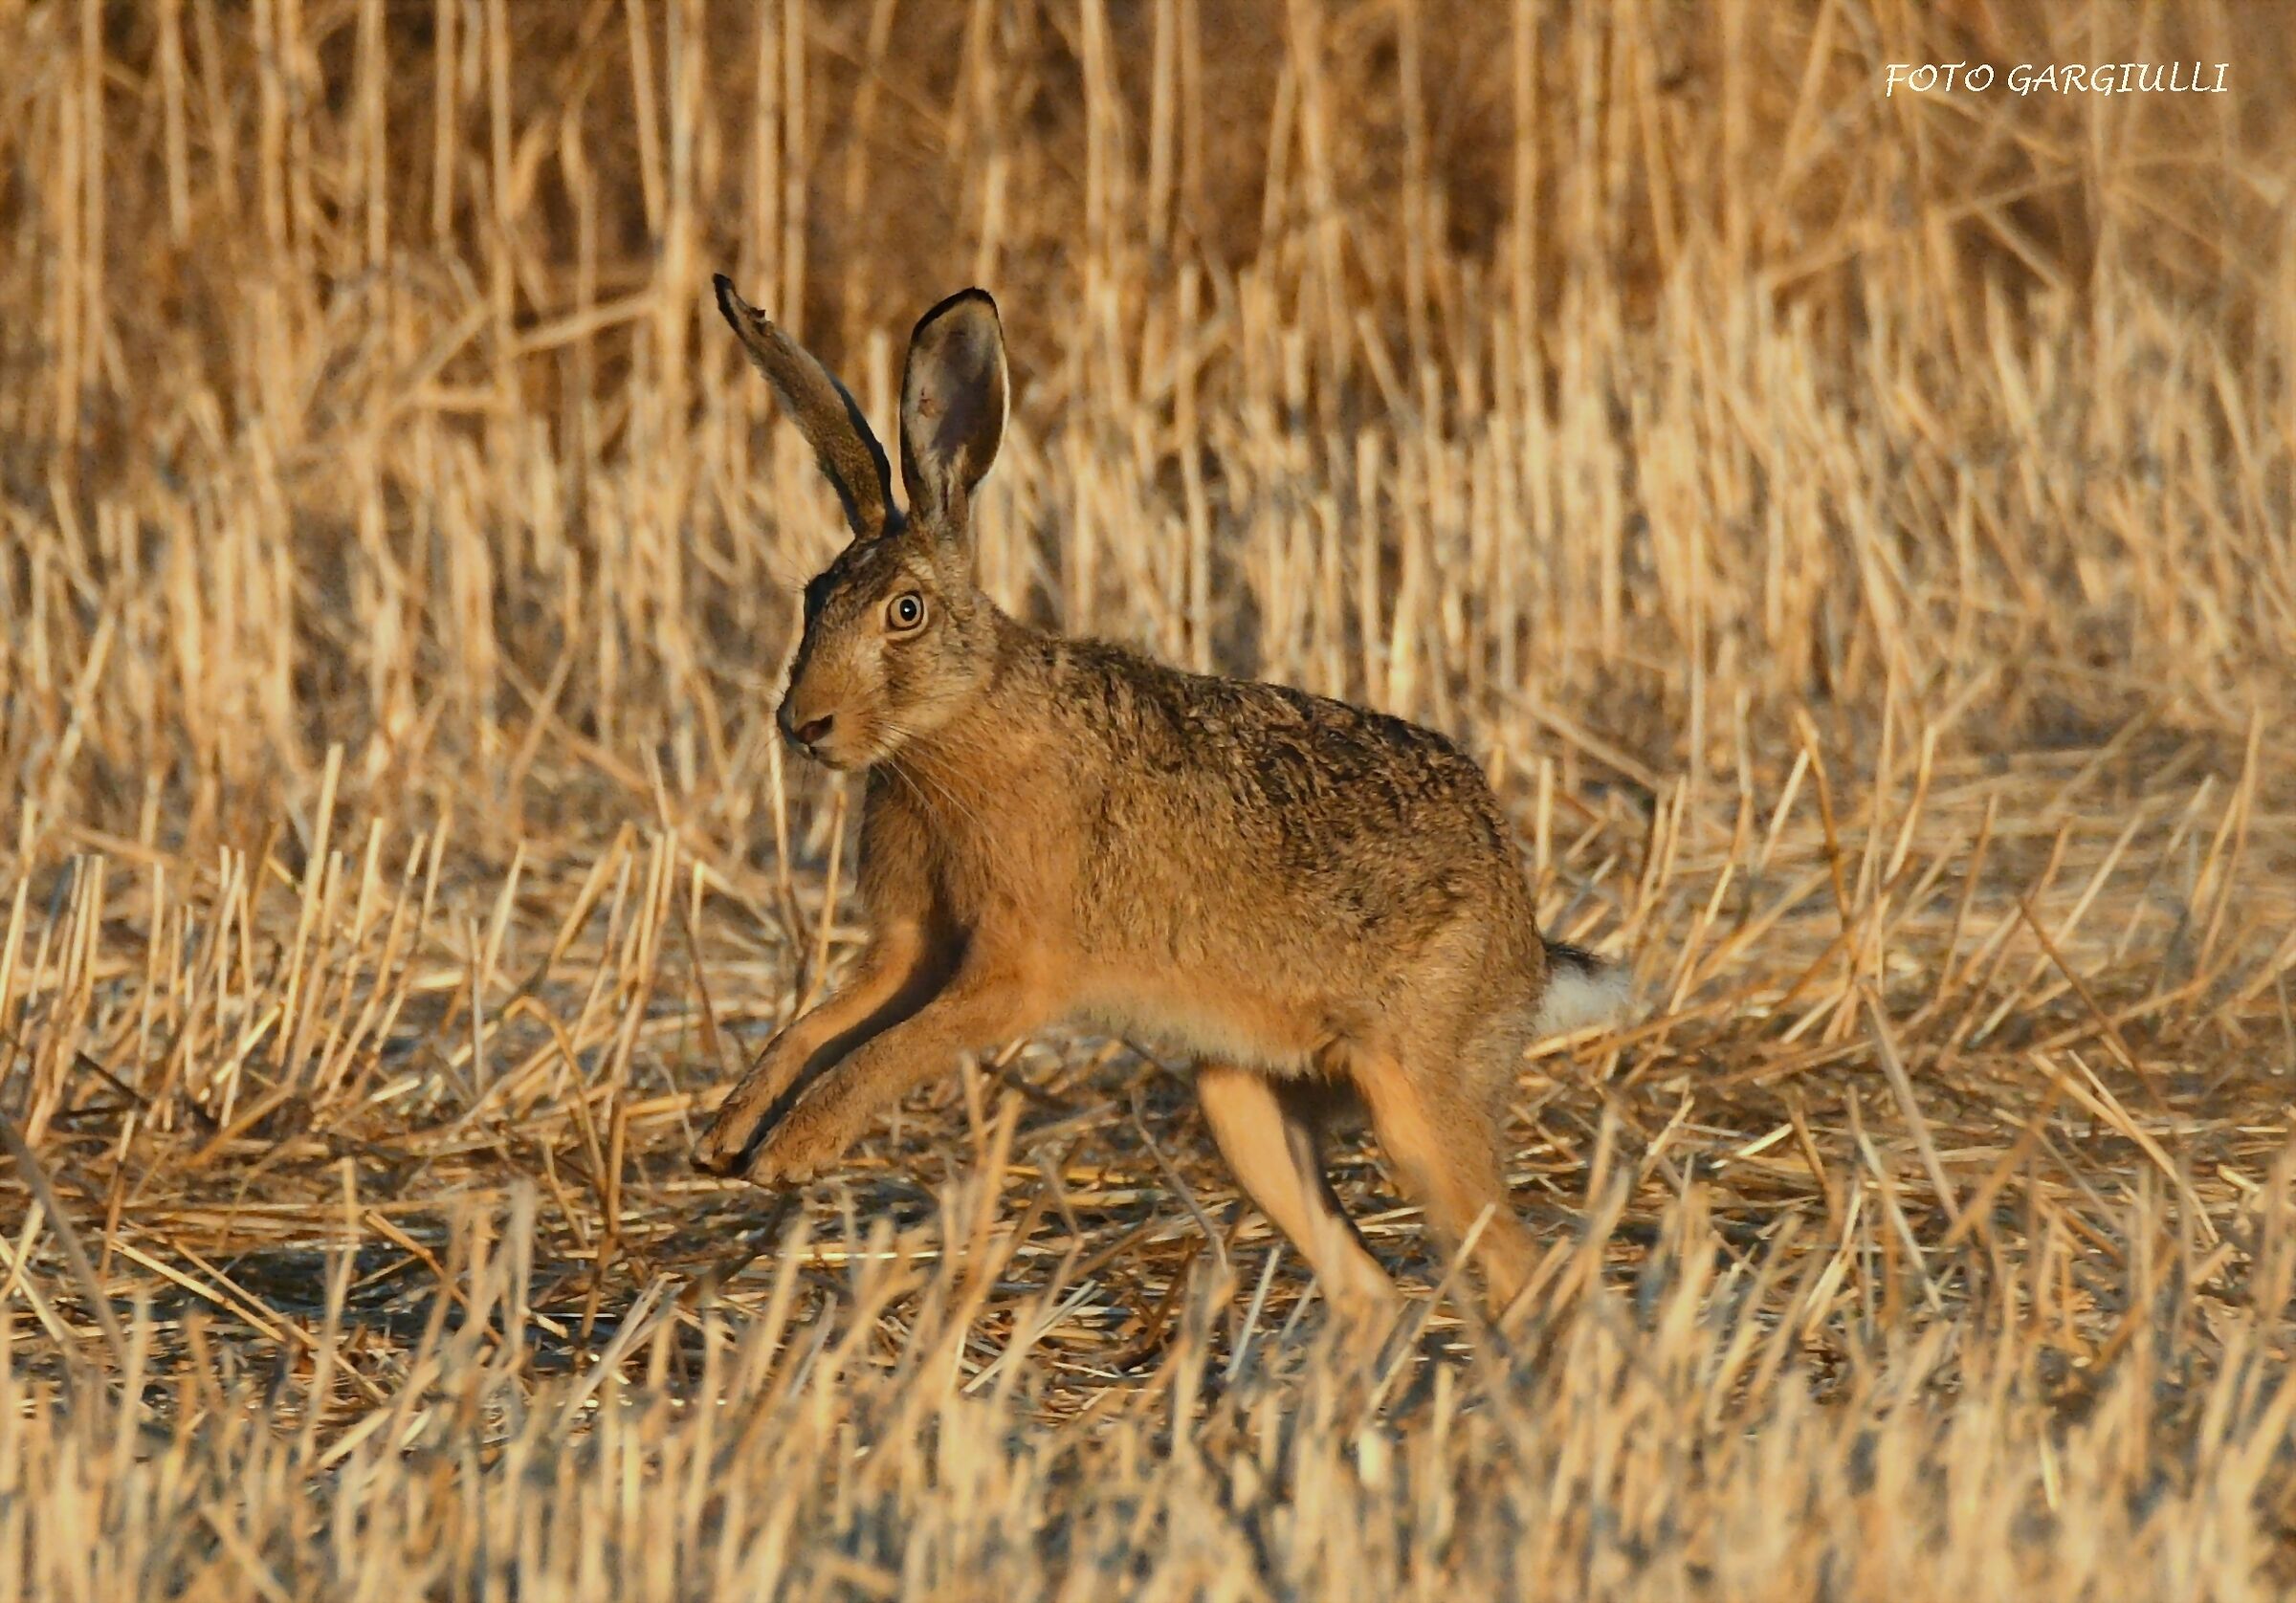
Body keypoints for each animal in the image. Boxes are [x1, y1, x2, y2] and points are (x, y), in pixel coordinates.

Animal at [693, 274, 1630, 1318]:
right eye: (813, 597)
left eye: (906, 612)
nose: (804, 723)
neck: (957, 721)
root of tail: (1524, 934)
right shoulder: (910, 946)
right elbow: (818, 1025)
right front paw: (728, 1136)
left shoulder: (1015, 970)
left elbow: (888, 1048)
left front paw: (792, 1151)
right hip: (1243, 1104)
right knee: (1367, 1286)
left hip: (1419, 1099)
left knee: (1517, 1265)